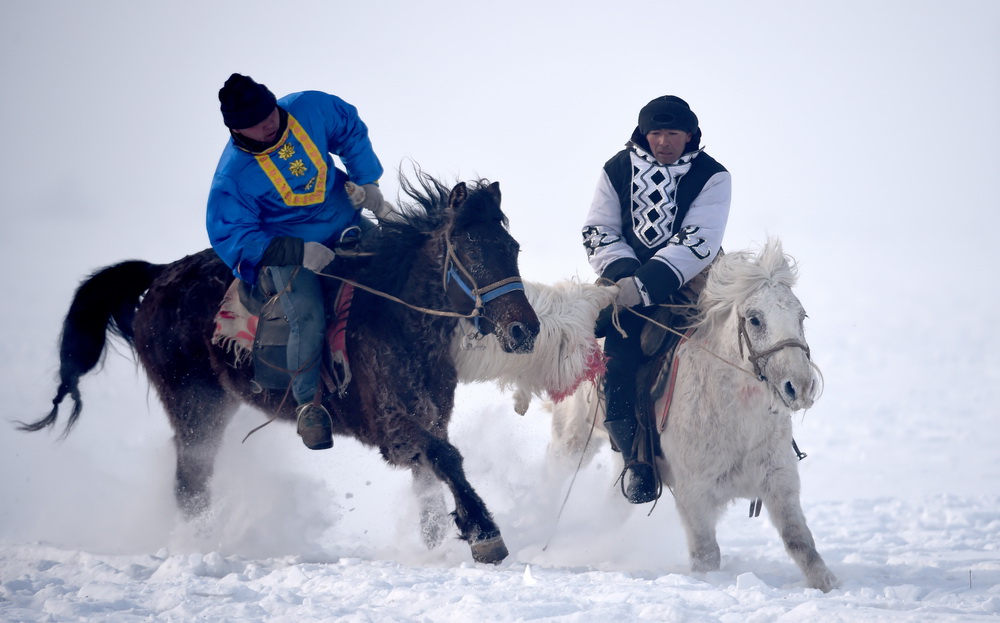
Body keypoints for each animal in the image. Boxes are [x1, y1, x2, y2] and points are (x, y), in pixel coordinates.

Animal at [19, 174, 536, 564]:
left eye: (511, 247)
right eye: (473, 252)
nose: (523, 330)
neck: (395, 316)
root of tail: (160, 274)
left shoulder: (428, 415)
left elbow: (431, 481)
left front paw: (438, 545)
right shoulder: (392, 425)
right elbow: (446, 458)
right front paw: (485, 534)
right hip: (194, 405)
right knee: (190, 484)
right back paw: (200, 547)